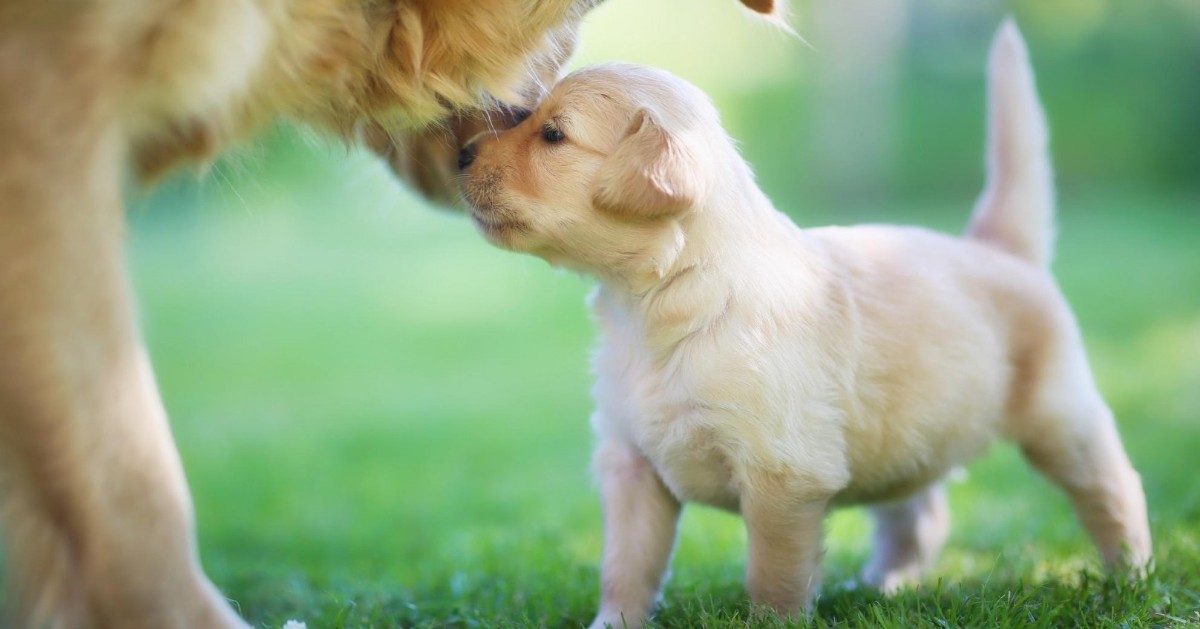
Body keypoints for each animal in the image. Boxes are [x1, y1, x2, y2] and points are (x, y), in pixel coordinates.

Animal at [458, 20, 1152, 629]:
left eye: (553, 135)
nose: (460, 153)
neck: (660, 300)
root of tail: (1000, 249)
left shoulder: (783, 477)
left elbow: (773, 575)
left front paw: (773, 622)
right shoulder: (631, 463)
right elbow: (625, 566)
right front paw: (613, 622)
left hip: (1060, 416)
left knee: (1114, 487)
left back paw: (1131, 578)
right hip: (909, 433)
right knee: (921, 512)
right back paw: (882, 584)